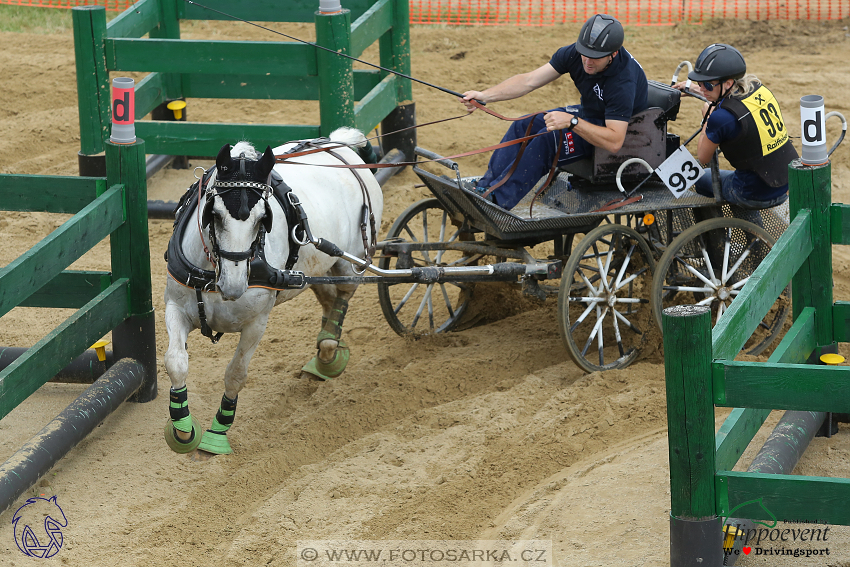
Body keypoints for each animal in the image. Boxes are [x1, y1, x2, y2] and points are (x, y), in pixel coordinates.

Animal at [162, 129, 380, 458]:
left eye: (263, 219)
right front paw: (183, 429)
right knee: (327, 296)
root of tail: (340, 143)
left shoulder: (256, 324)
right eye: (214, 214)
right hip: (311, 269)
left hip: (349, 262)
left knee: (342, 294)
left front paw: (217, 433)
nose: (234, 286)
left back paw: (329, 351)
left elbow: (236, 374)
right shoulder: (175, 306)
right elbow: (176, 361)